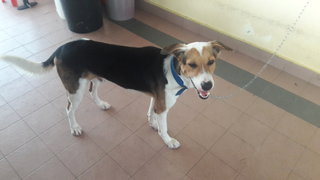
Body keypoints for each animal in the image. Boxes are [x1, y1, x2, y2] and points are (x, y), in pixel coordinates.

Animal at [1, 39, 232, 149]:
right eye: (192, 65)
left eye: (211, 62)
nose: (207, 85)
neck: (174, 69)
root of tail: (61, 48)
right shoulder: (163, 105)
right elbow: (165, 127)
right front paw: (168, 140)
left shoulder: (156, 99)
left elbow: (151, 113)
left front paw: (153, 124)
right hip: (76, 89)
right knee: (68, 109)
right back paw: (74, 127)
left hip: (94, 79)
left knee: (93, 93)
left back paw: (102, 104)